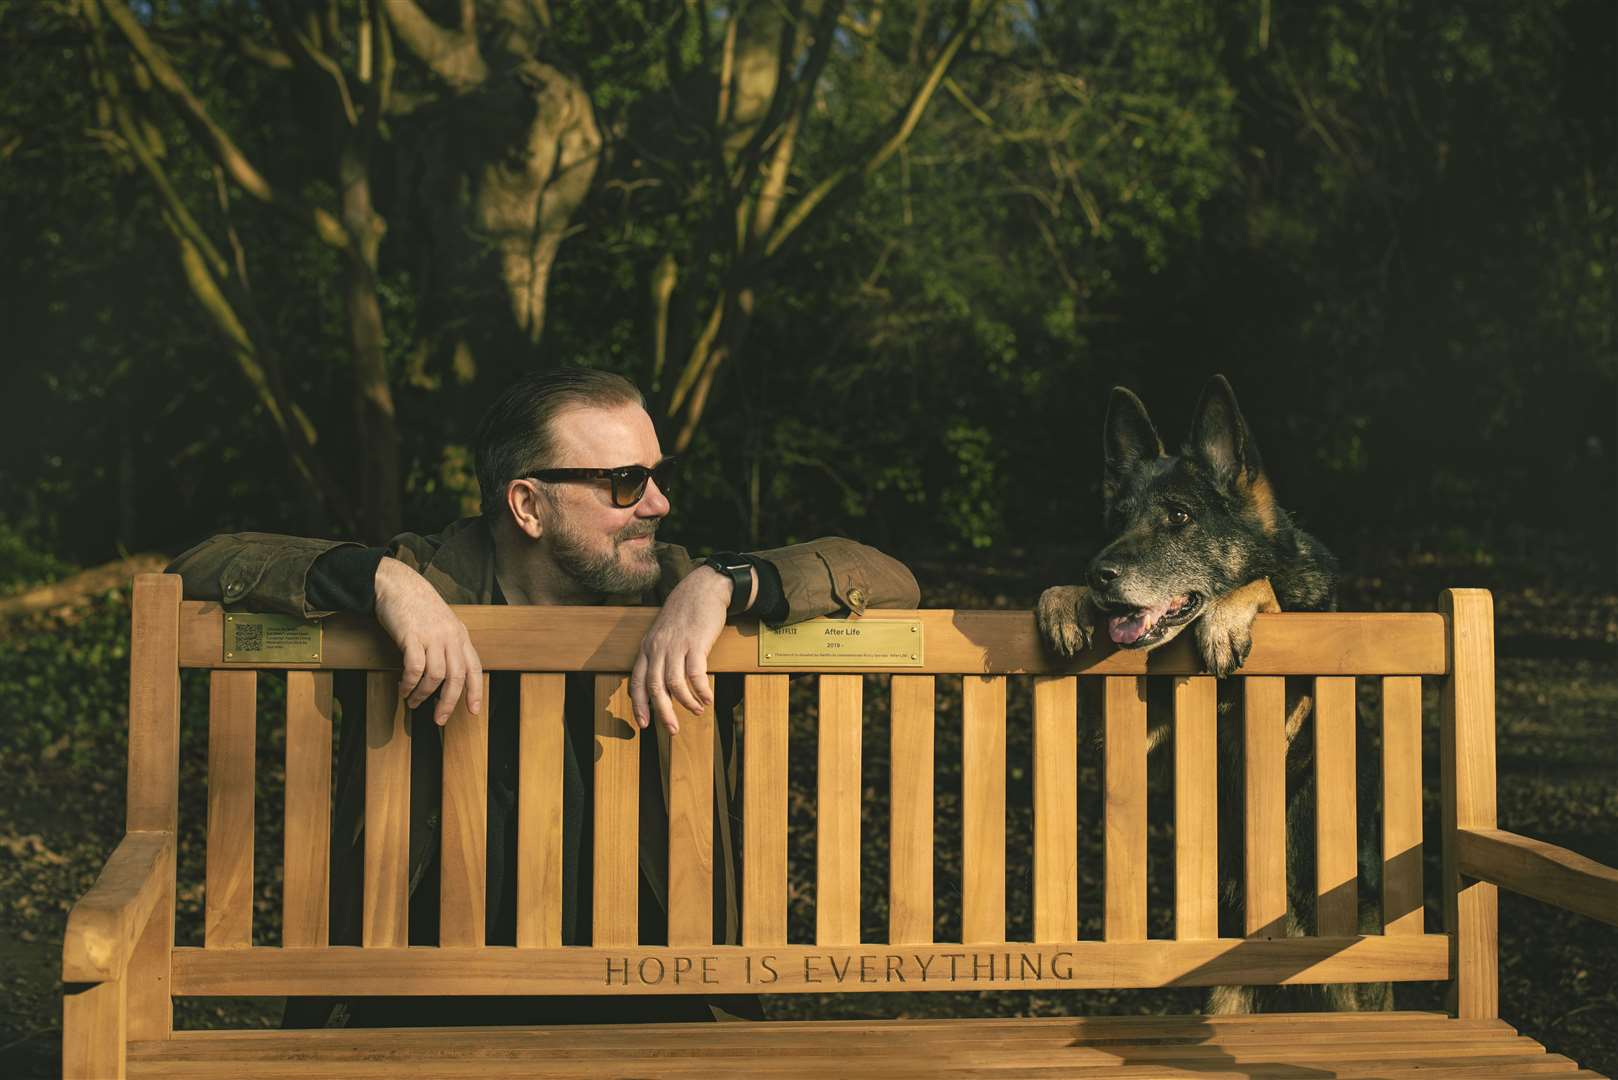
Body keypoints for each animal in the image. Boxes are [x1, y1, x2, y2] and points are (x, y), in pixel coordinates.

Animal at [1029, 378, 1385, 1016]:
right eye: (1117, 520)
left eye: (1179, 516)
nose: (1098, 573)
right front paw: (1065, 600)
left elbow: (1263, 588)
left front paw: (1225, 618)